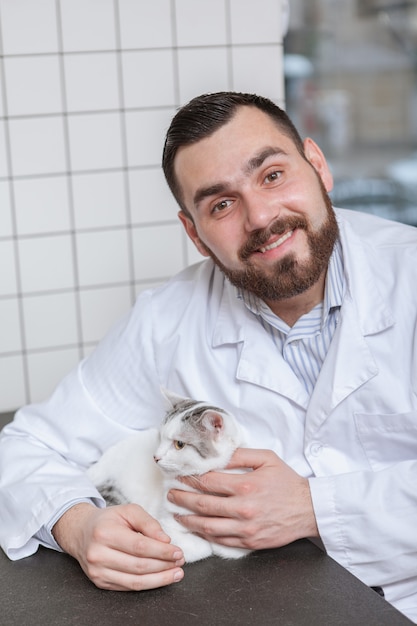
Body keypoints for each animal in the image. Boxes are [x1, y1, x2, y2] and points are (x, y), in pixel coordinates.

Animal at [85, 390, 249, 560]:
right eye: (160, 437)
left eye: (179, 444)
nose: (155, 457)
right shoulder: (167, 521)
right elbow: (200, 547)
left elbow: (234, 549)